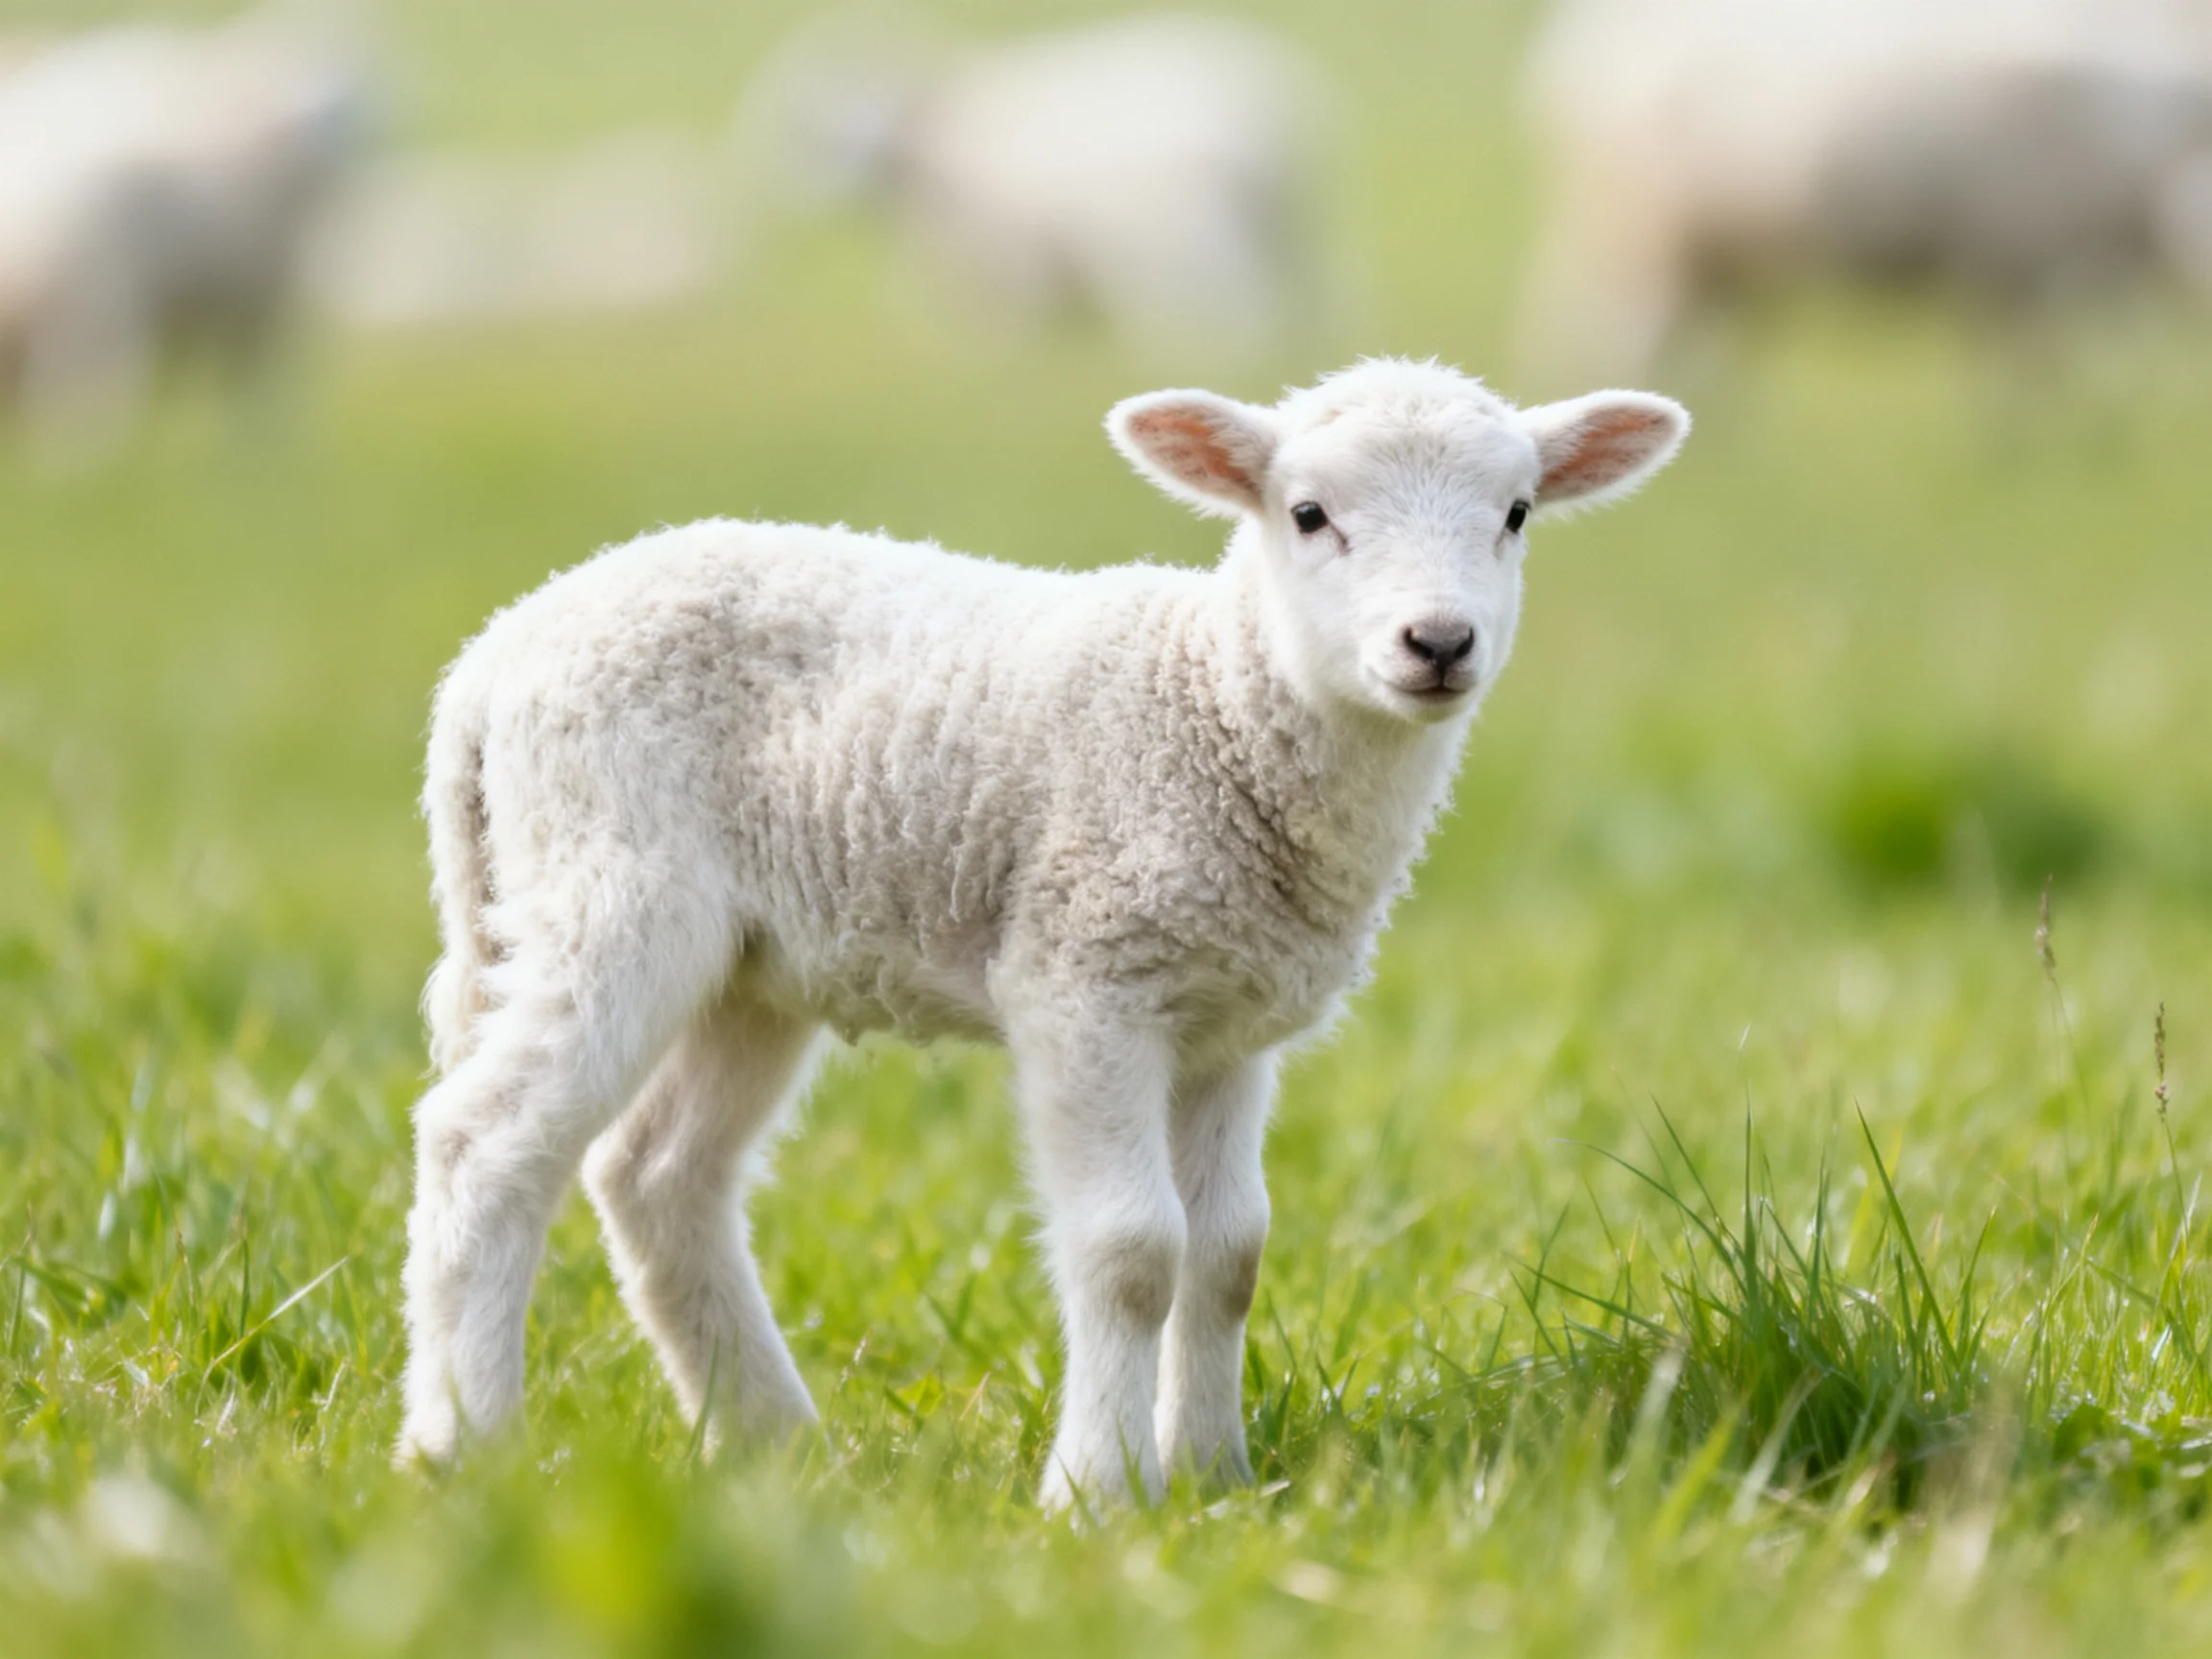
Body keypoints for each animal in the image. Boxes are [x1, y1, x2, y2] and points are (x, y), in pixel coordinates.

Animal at [394, 358, 1690, 1508]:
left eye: (1515, 515)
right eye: (1309, 514)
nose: (1439, 644)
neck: (1215, 703)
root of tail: (491, 658)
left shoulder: (1227, 1020)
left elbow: (1229, 1255)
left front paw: (1213, 1478)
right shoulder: (1085, 977)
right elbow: (1133, 1251)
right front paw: (1098, 1493)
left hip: (750, 967)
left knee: (657, 1175)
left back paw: (776, 1448)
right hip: (610, 885)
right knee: (484, 1140)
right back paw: (464, 1447)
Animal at [732, 13, 1326, 354]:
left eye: (876, 110)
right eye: (812, 124)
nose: (829, 185)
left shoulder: (1000, 261)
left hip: (1183, 229)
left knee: (1226, 306)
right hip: (1283, 227)